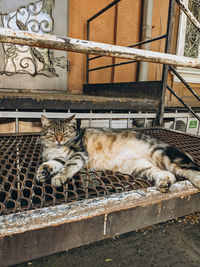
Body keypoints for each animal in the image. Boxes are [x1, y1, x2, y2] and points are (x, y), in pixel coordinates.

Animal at [36, 114, 200, 193]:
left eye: (65, 133)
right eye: (53, 133)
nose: (59, 140)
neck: (55, 148)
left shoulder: (79, 153)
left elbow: (69, 166)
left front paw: (59, 178)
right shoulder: (58, 158)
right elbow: (52, 163)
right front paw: (43, 172)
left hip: (161, 154)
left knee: (189, 170)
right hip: (140, 166)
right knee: (167, 174)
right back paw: (164, 183)